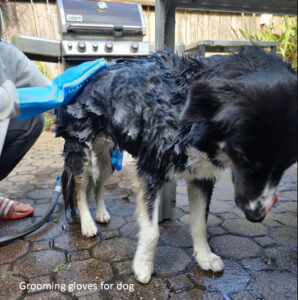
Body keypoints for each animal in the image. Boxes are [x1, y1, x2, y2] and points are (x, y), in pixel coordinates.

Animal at [54, 47, 296, 284]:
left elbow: (200, 223)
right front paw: (143, 267)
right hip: (81, 152)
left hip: (108, 161)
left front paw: (204, 257)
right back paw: (87, 224)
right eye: (245, 157)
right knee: (79, 189)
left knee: (98, 185)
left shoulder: (202, 177)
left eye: (288, 164)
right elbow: (152, 230)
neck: (190, 109)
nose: (256, 216)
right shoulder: (150, 170)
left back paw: (101, 213)